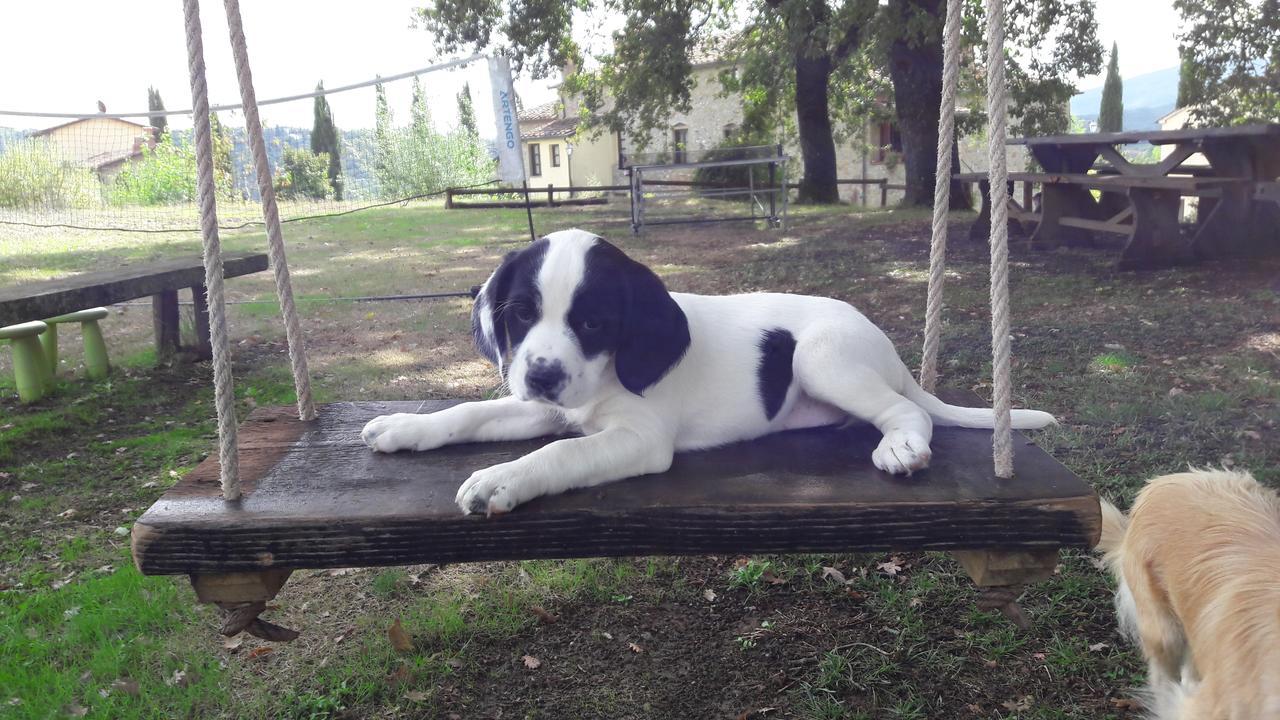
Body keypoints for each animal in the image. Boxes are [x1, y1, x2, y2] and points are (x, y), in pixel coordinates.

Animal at [358, 226, 1049, 512]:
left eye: (593, 323)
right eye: (521, 315)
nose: (544, 375)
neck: (606, 377)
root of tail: (888, 349)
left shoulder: (640, 439)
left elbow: (559, 453)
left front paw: (503, 479)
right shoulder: (545, 407)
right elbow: (471, 411)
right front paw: (405, 427)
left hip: (821, 356)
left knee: (904, 410)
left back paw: (901, 447)